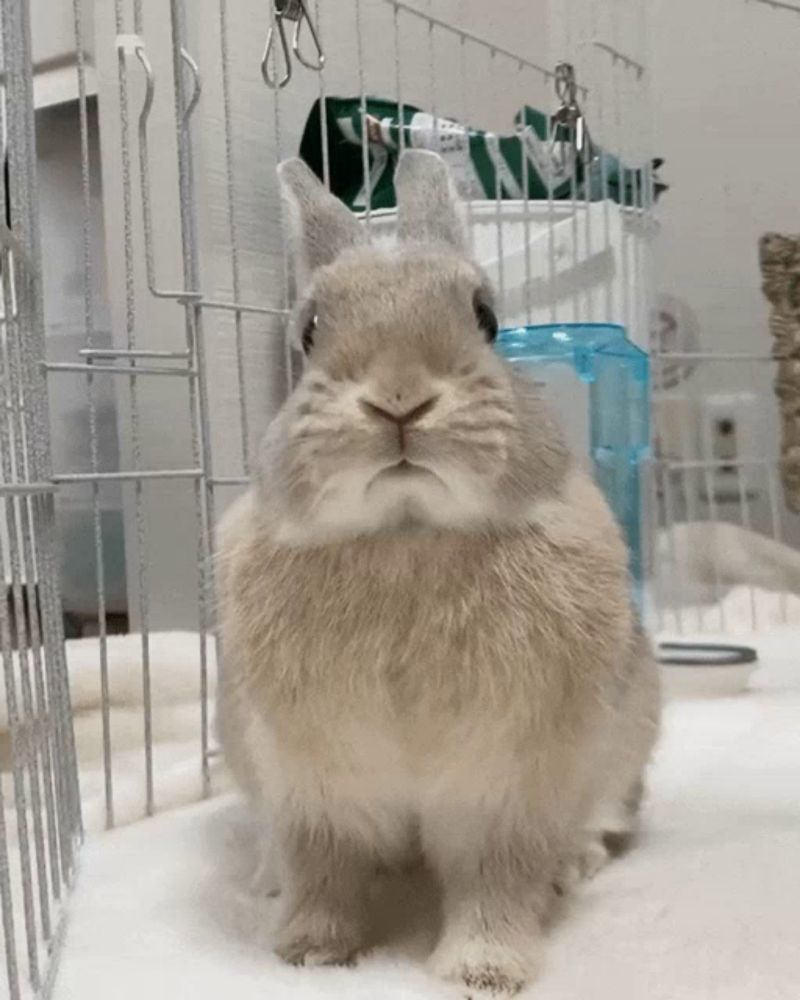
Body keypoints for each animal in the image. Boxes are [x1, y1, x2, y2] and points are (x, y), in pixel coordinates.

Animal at [216, 150, 660, 1000]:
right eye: (309, 331)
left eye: (485, 316)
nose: (400, 399)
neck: (407, 534)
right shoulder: (313, 785)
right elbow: (323, 870)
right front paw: (308, 952)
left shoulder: (506, 785)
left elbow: (496, 882)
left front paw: (483, 972)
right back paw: (264, 878)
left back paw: (576, 864)